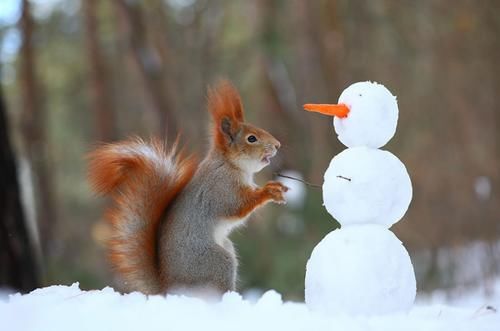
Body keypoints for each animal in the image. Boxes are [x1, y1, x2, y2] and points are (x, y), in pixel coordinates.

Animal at [88, 80, 288, 296]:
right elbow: (237, 206)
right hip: (216, 263)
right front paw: (269, 191)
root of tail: (169, 288)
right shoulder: (220, 188)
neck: (229, 164)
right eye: (252, 138)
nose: (278, 145)